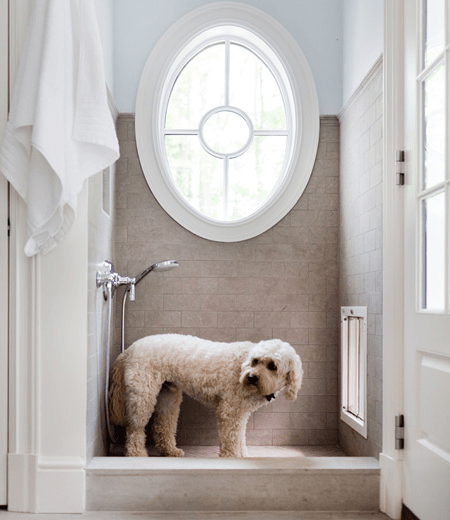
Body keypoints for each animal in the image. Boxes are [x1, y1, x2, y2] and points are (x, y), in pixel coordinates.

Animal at [110, 336, 302, 458]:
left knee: (163, 426)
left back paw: (171, 451)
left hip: (168, 397)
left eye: (272, 366)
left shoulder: (240, 414)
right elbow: (231, 440)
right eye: (255, 361)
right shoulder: (229, 412)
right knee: (135, 428)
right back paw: (137, 454)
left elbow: (240, 438)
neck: (242, 366)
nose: (252, 377)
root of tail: (129, 350)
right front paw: (232, 458)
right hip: (142, 394)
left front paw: (243, 456)